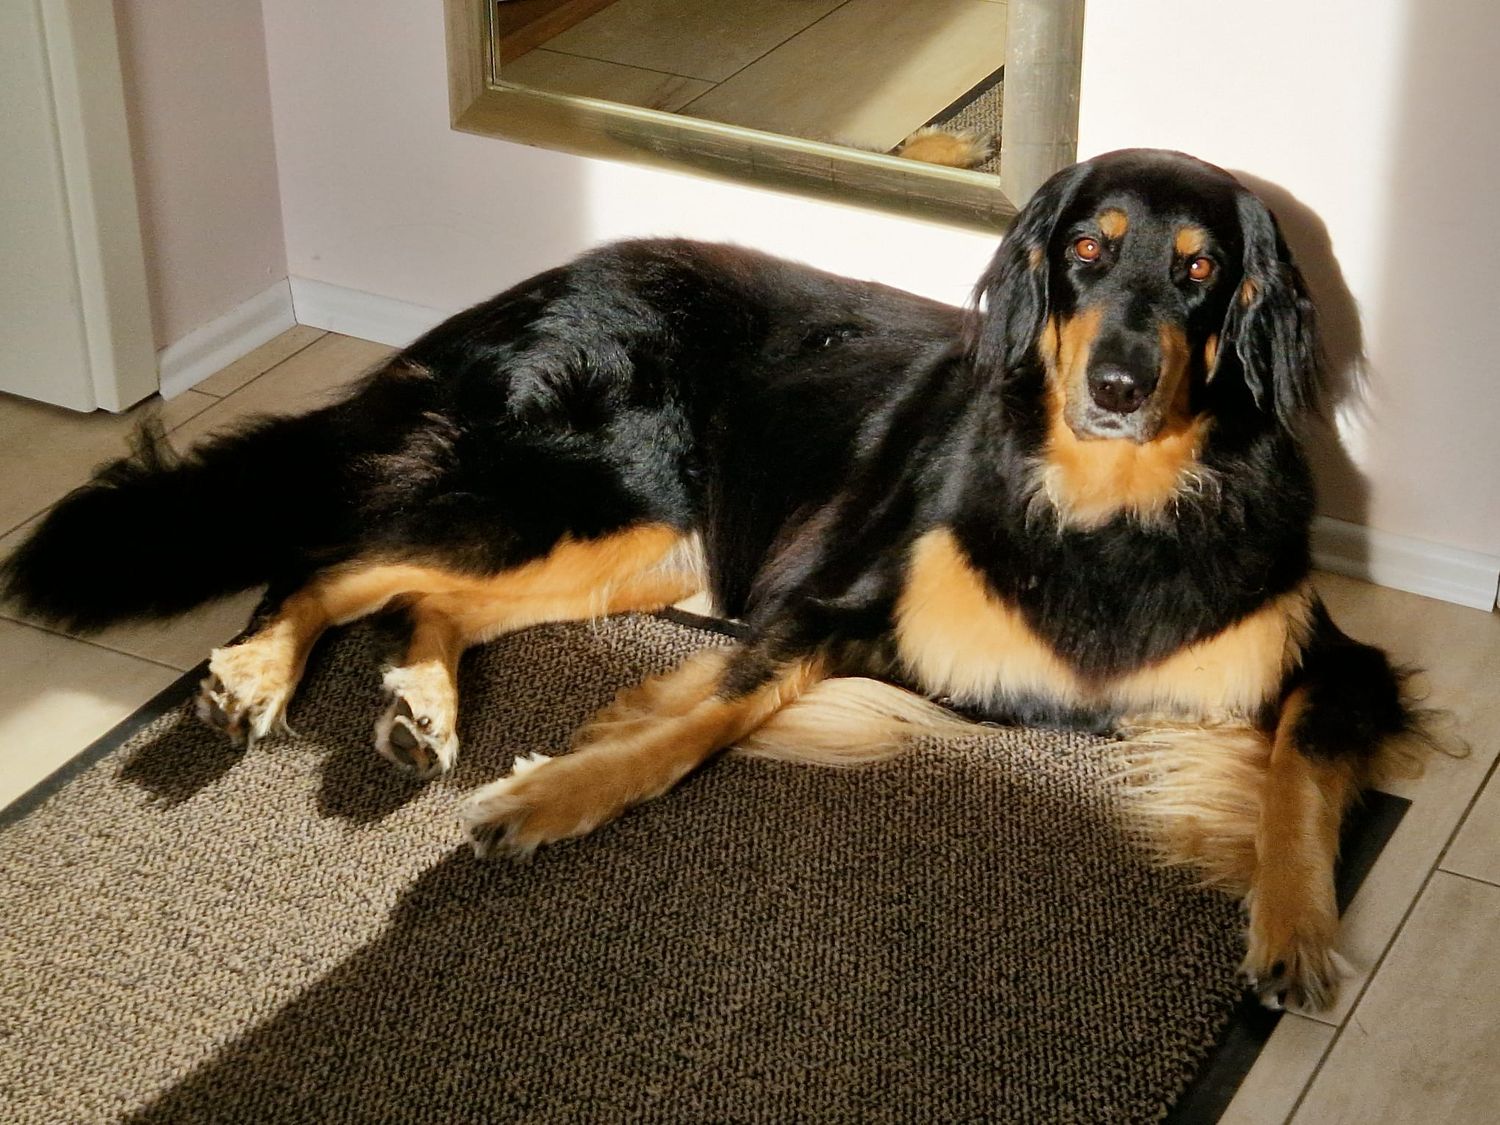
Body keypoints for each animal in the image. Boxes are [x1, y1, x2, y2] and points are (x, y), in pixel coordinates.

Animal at [2, 148, 1427, 1011]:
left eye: (1201, 273)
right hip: (594, 491)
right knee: (331, 552)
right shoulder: (831, 605)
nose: (1120, 387)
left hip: (655, 542)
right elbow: (704, 720)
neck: (1107, 503)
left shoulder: (1332, 664)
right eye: (1086, 250)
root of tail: (518, 293)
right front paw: (560, 792)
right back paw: (254, 673)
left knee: (423, 592)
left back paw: (418, 703)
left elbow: (1298, 775)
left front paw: (1295, 931)